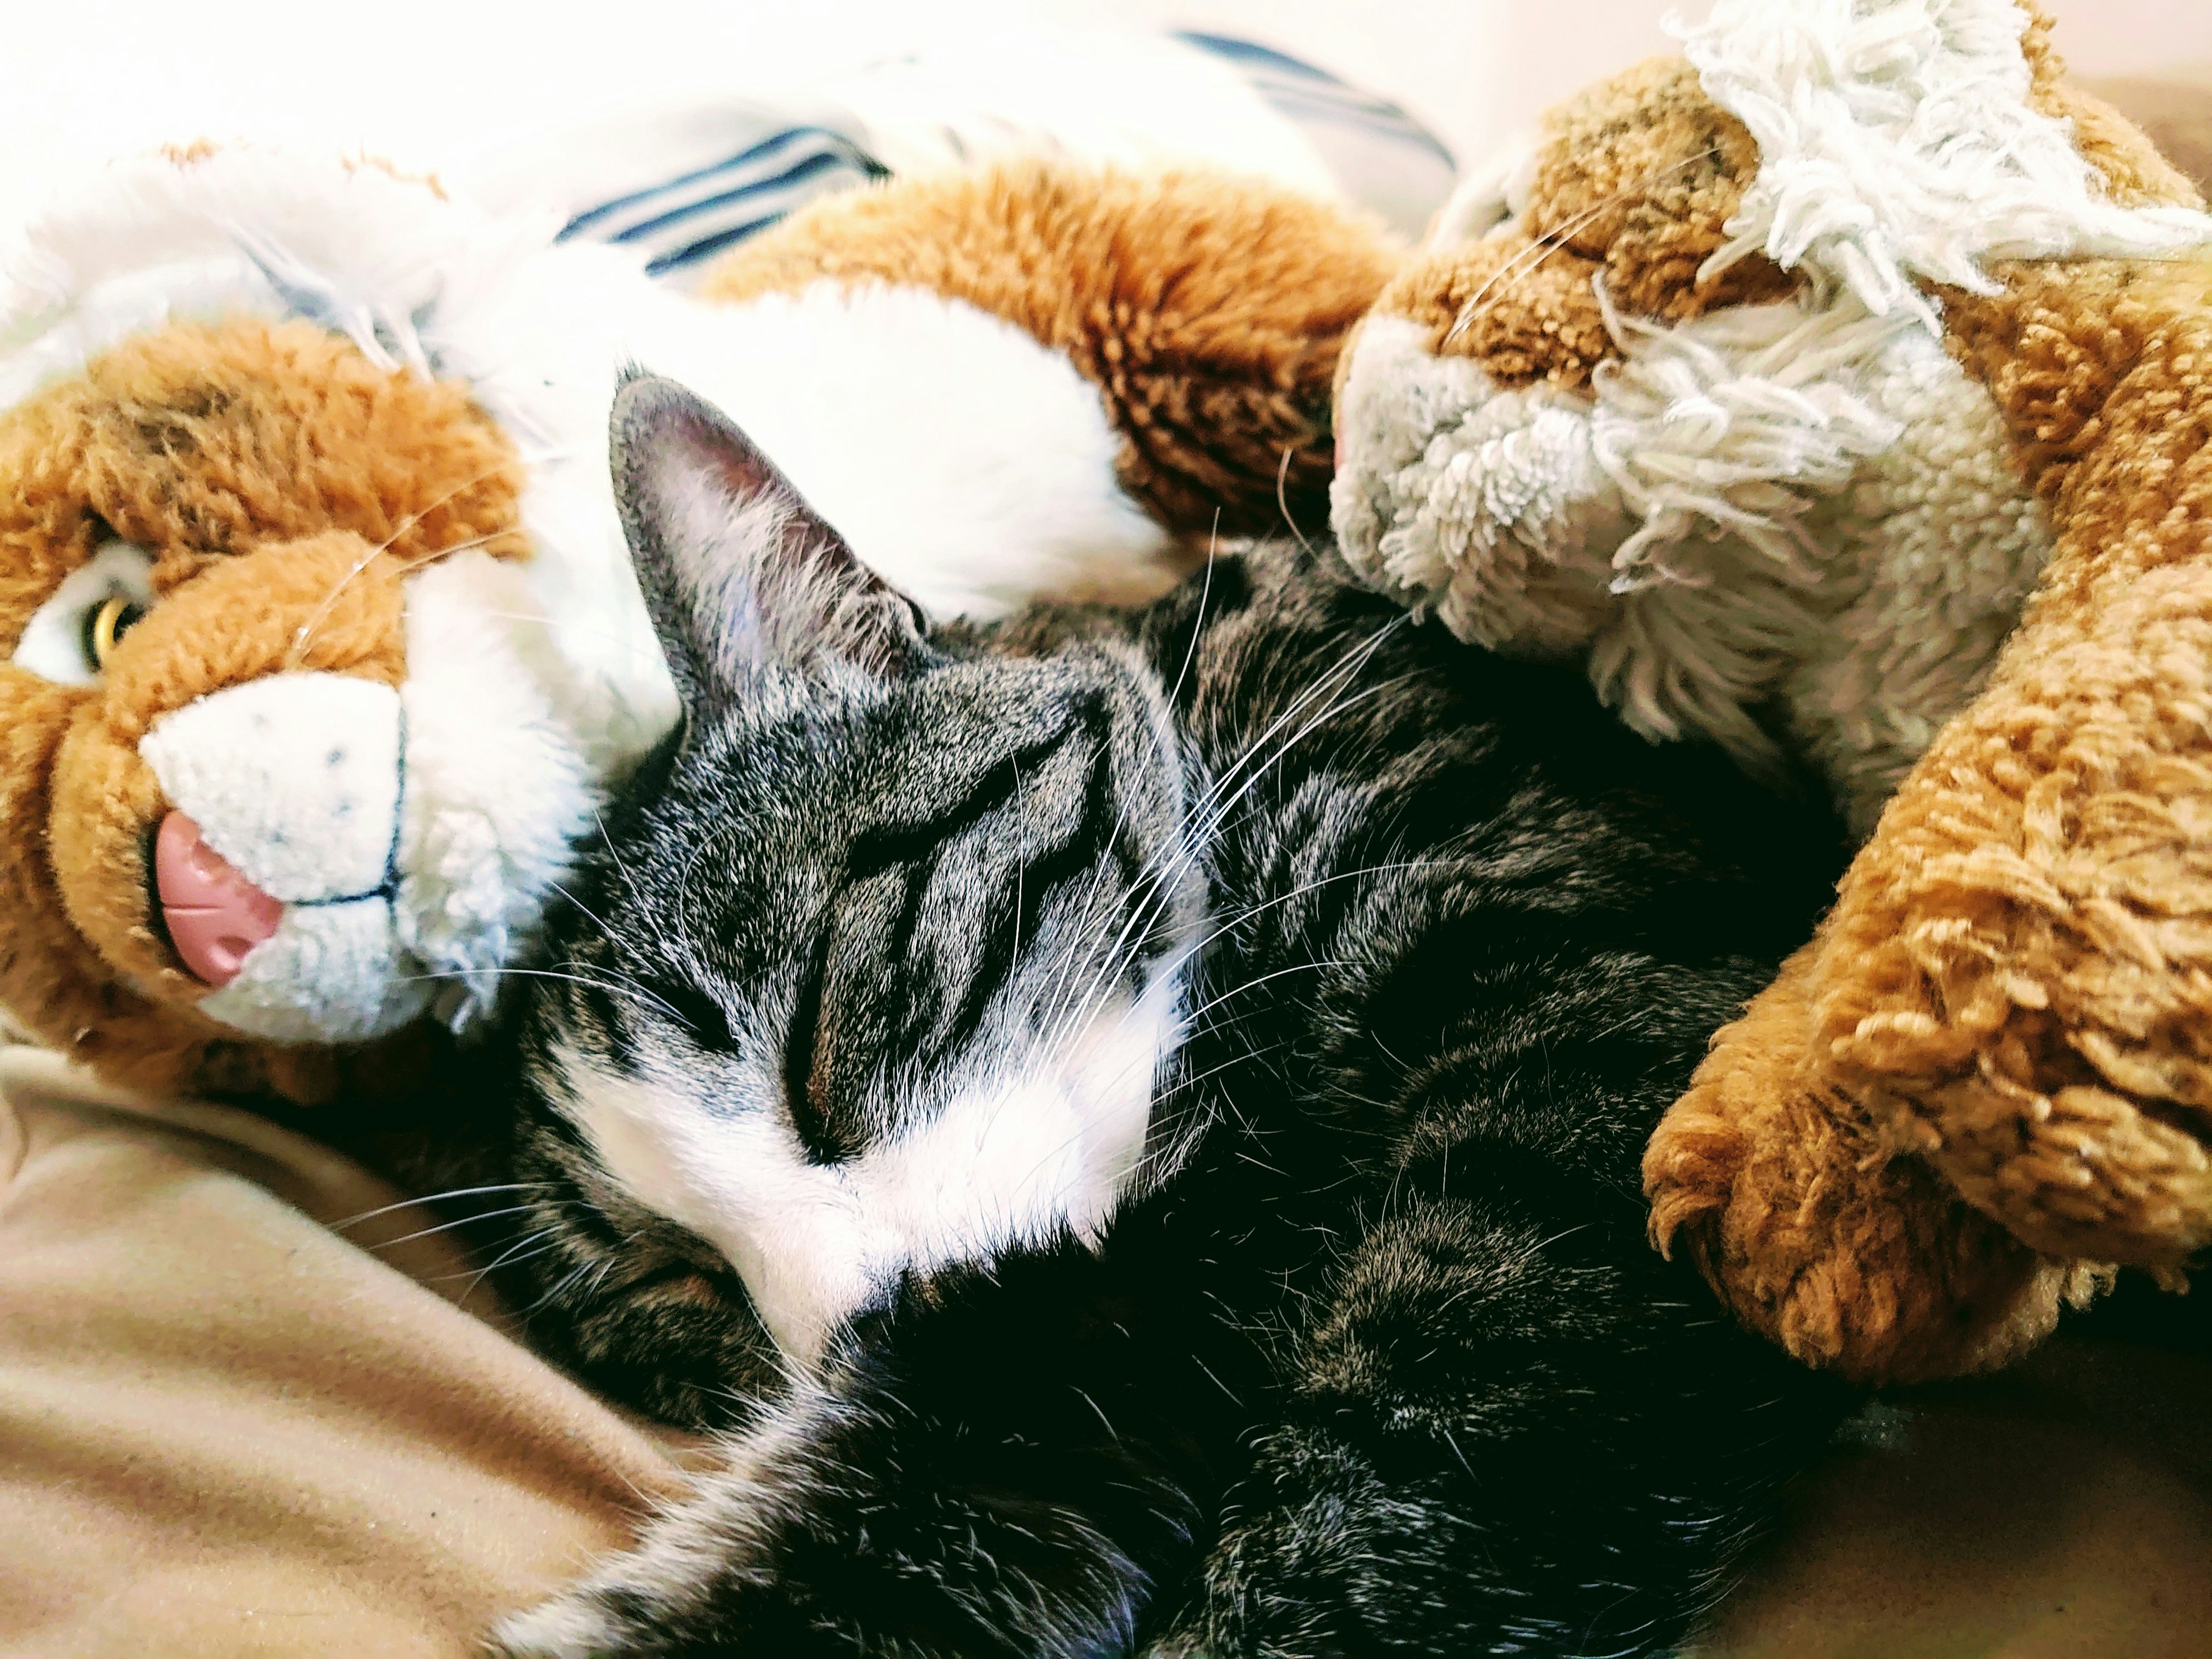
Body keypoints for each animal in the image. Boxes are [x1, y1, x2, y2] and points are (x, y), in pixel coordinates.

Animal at [480, 376, 1849, 1659]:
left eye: (815, 1041)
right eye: (681, 1282)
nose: (868, 1324)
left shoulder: (1590, 1006)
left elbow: (1429, 1454)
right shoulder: (1090, 1336)